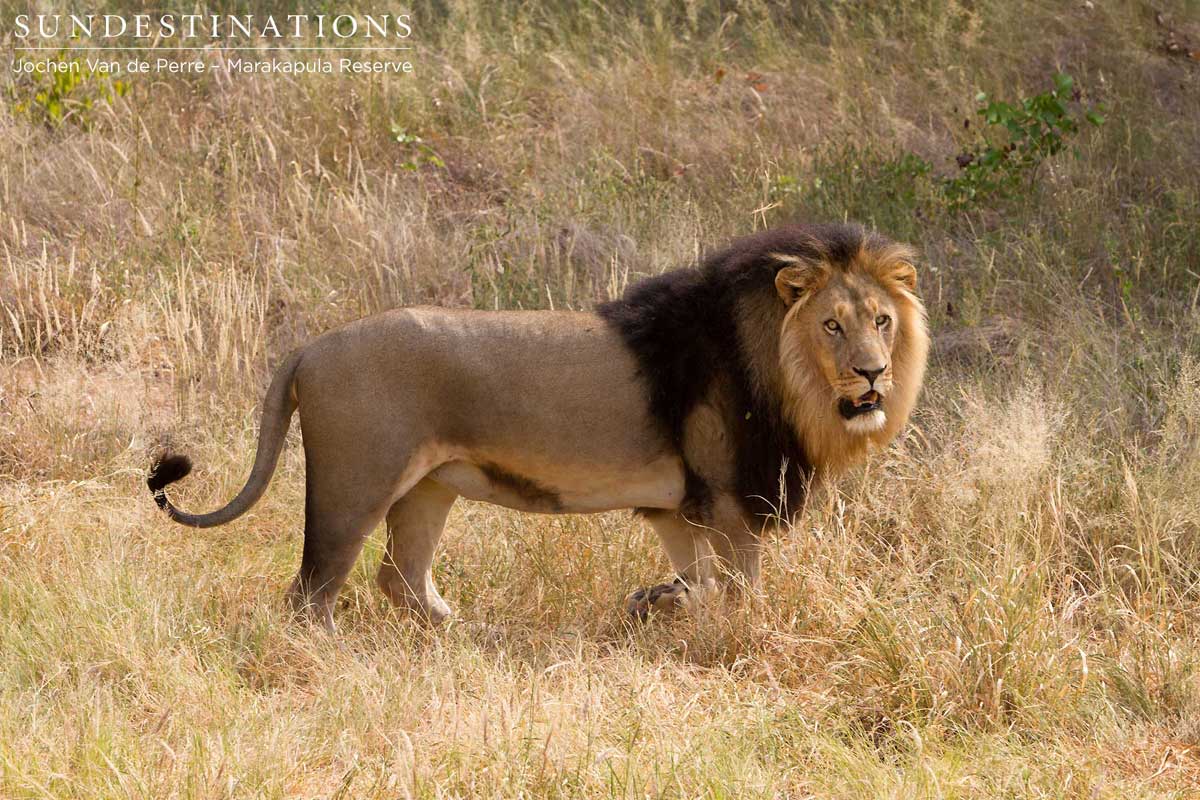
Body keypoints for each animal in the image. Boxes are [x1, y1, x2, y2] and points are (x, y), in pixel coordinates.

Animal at [147, 223, 929, 630]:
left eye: (882, 322)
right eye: (832, 326)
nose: (872, 375)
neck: (783, 370)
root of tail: (309, 346)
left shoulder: (681, 507)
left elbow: (698, 578)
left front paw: (661, 603)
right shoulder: (732, 499)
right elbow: (741, 590)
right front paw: (734, 636)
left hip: (428, 489)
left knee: (400, 577)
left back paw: (467, 637)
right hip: (354, 484)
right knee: (311, 591)